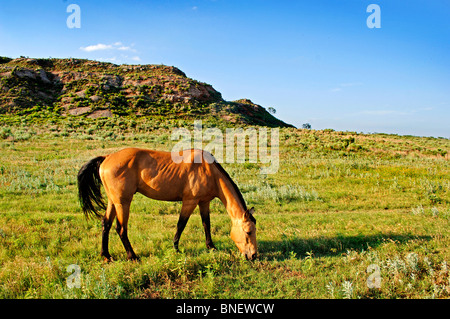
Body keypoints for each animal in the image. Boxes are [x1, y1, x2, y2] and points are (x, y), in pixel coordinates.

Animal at [75, 148, 255, 262]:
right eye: (248, 232)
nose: (253, 255)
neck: (208, 170)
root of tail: (107, 157)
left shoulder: (204, 202)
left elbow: (206, 224)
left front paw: (211, 247)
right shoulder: (189, 202)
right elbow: (181, 225)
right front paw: (176, 248)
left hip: (113, 201)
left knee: (105, 224)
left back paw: (106, 255)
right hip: (123, 203)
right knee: (121, 228)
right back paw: (132, 256)